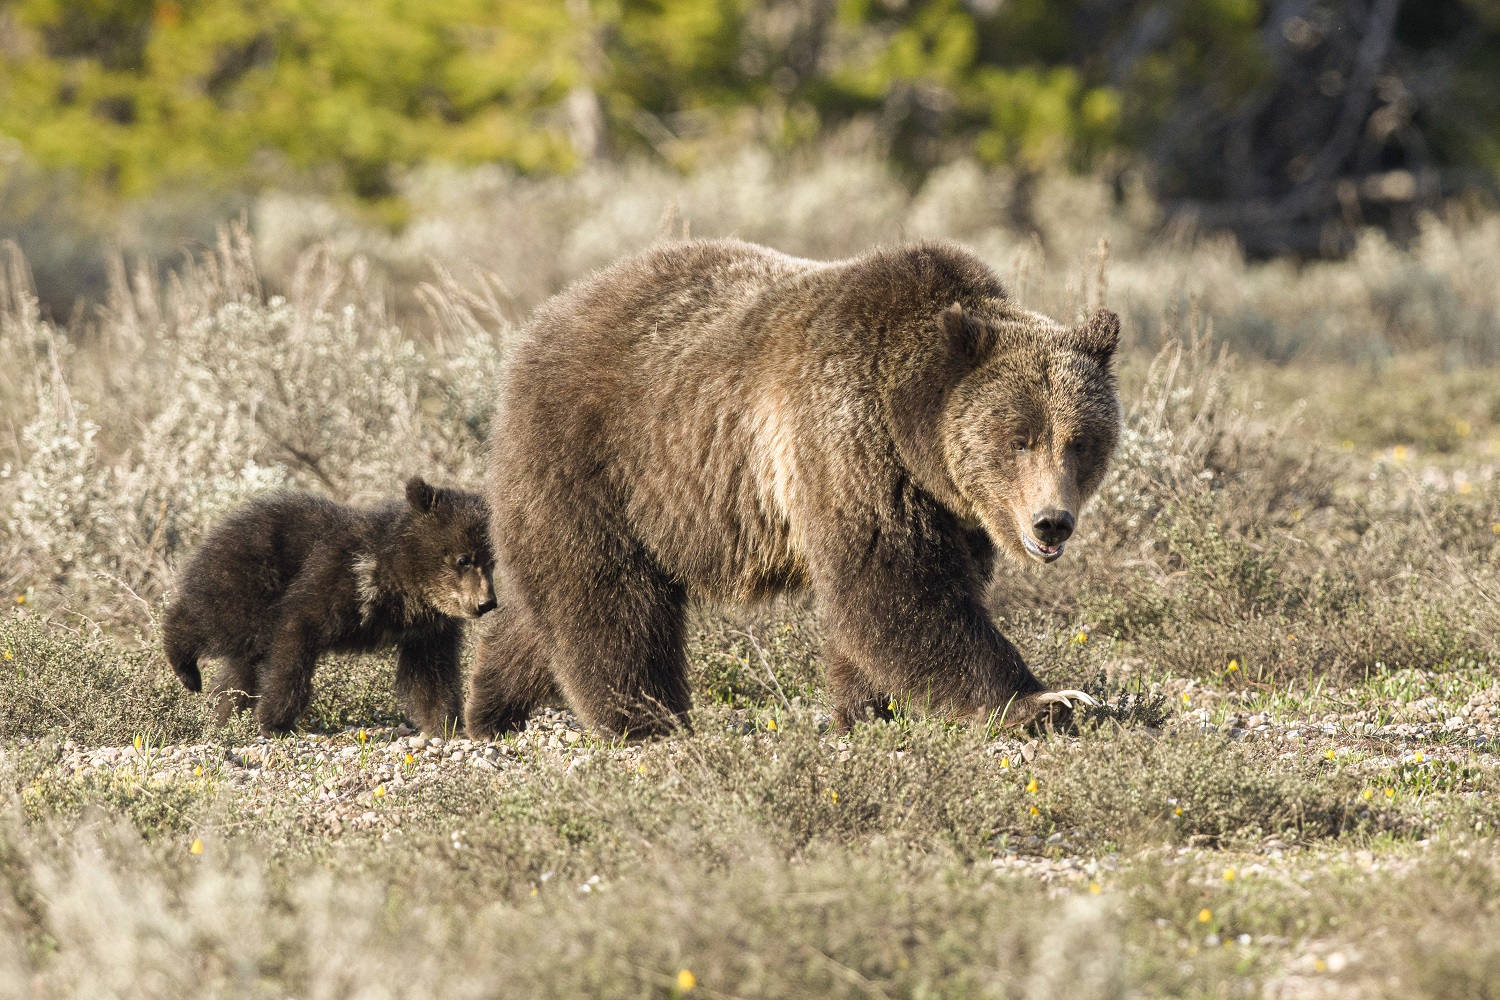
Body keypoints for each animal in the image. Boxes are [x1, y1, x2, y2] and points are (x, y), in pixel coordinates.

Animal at [163, 476, 495, 734]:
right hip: (252, 581)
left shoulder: (427, 629)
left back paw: (225, 715)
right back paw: (186, 670)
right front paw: (273, 720)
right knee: (217, 620)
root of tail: (222, 524)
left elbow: (431, 675)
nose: (487, 602)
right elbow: (293, 644)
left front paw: (446, 724)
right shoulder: (335, 581)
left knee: (239, 670)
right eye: (463, 559)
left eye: (491, 561)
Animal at [465, 238, 1116, 740]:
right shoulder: (846, 442)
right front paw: (1046, 701)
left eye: (1080, 441)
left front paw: (867, 709)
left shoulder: (948, 507)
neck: (909, 429)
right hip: (600, 458)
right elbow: (898, 588)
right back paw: (647, 721)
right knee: (607, 597)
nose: (1051, 521)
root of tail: (538, 324)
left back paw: (490, 707)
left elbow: (902, 598)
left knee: (546, 608)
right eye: (1020, 439)